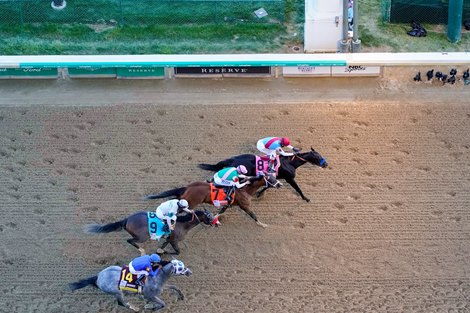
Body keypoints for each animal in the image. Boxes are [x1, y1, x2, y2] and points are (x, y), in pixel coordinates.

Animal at [84, 208, 217, 255]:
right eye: (210, 217)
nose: (217, 223)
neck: (183, 224)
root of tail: (127, 220)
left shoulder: (169, 238)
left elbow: (163, 245)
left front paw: (160, 250)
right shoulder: (174, 240)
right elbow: (177, 252)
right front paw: (162, 252)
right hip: (142, 237)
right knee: (130, 240)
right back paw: (142, 251)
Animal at [144, 173, 280, 227]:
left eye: (274, 177)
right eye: (271, 179)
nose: (280, 184)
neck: (244, 189)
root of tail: (188, 187)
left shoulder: (227, 205)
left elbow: (219, 212)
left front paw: (215, 220)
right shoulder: (245, 206)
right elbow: (253, 215)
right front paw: (263, 224)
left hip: (185, 199)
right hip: (190, 203)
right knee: (177, 210)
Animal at [197, 149, 326, 202]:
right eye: (317, 157)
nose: (326, 164)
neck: (290, 162)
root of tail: (233, 159)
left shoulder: (275, 177)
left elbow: (268, 186)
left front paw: (259, 193)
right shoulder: (289, 178)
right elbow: (298, 189)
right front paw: (306, 198)